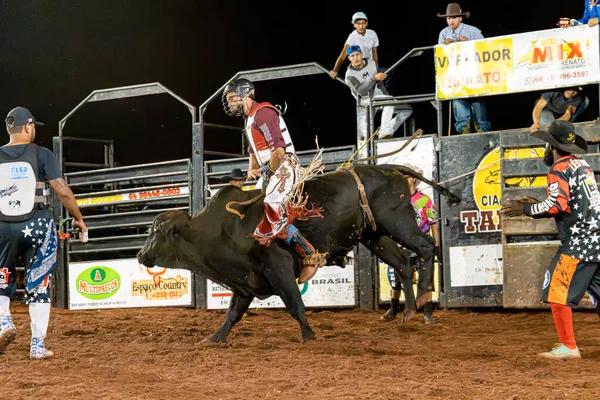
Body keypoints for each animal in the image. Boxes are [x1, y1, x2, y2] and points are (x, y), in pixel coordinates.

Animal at [138, 164, 462, 342]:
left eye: (155, 232)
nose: (141, 256)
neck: (221, 228)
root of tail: (389, 169)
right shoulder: (245, 282)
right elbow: (233, 314)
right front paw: (214, 338)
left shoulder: (278, 267)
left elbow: (295, 304)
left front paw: (309, 336)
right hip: (376, 235)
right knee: (404, 263)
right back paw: (409, 310)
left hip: (397, 222)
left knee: (425, 248)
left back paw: (424, 296)